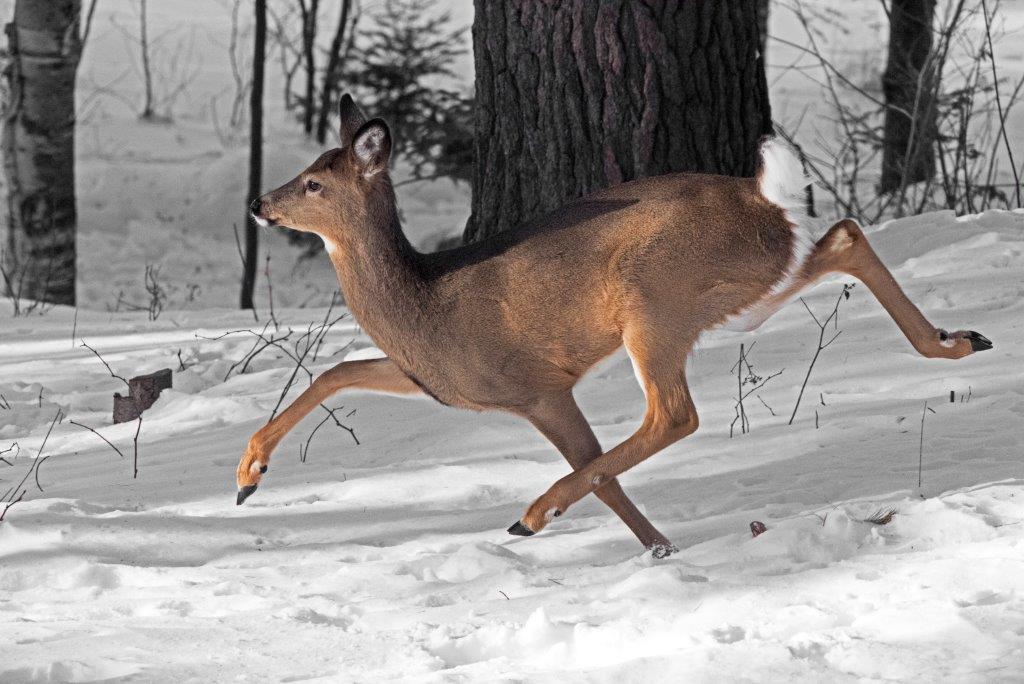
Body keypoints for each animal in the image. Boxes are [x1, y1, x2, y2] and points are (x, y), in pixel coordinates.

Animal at [236, 94, 992, 557]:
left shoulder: (537, 385)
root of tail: (760, 197)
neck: (425, 300)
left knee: (675, 414)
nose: (258, 204)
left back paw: (532, 513)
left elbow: (596, 467)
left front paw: (617, 536)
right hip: (743, 288)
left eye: (313, 183)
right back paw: (958, 340)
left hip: (655, 302)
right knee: (843, 234)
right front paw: (248, 476)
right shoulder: (437, 379)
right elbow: (337, 370)